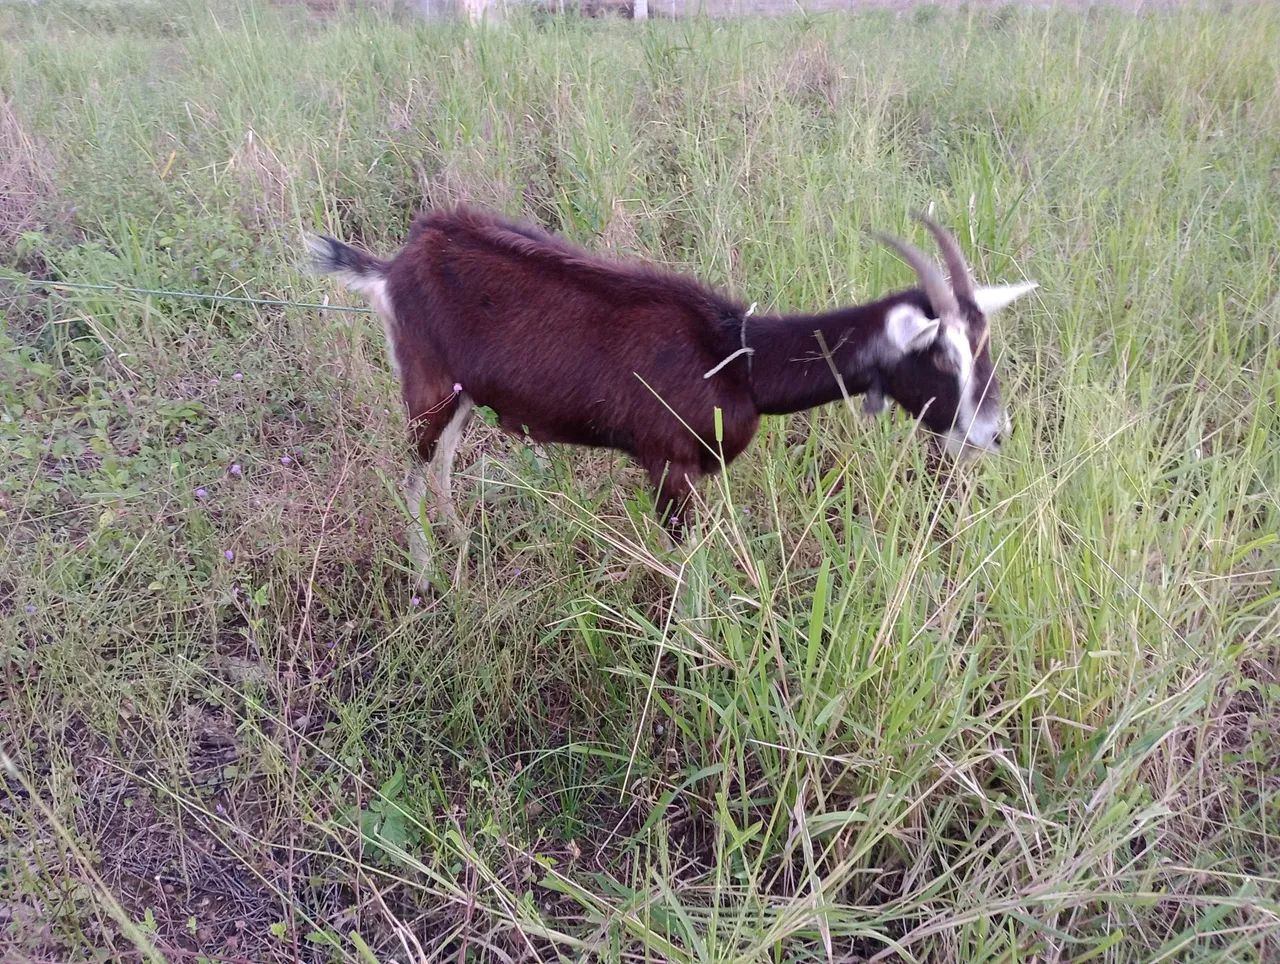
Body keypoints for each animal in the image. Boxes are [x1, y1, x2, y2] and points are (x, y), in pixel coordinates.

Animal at [308, 205, 1035, 563]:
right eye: (939, 357)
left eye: (984, 344)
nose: (995, 433)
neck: (736, 356)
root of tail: (395, 265)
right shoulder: (668, 469)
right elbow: (691, 578)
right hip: (427, 388)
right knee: (411, 478)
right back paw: (429, 577)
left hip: (463, 396)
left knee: (439, 471)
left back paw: (460, 550)